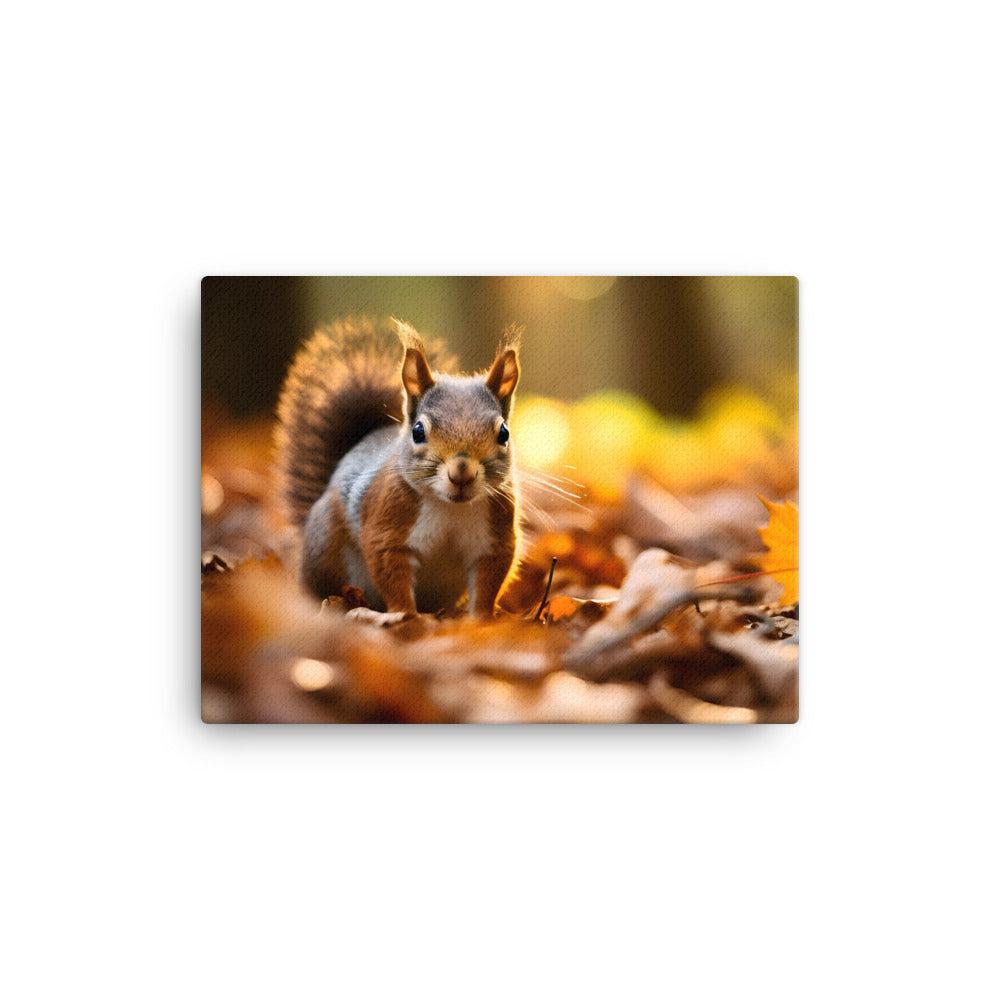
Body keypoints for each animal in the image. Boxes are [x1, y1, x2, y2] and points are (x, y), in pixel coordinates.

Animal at [274, 316, 522, 616]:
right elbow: (392, 576)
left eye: (504, 433)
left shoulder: (494, 540)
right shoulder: (388, 528)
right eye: (418, 431)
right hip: (323, 548)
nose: (461, 472)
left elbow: (488, 585)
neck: (450, 508)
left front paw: (482, 619)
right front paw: (406, 616)